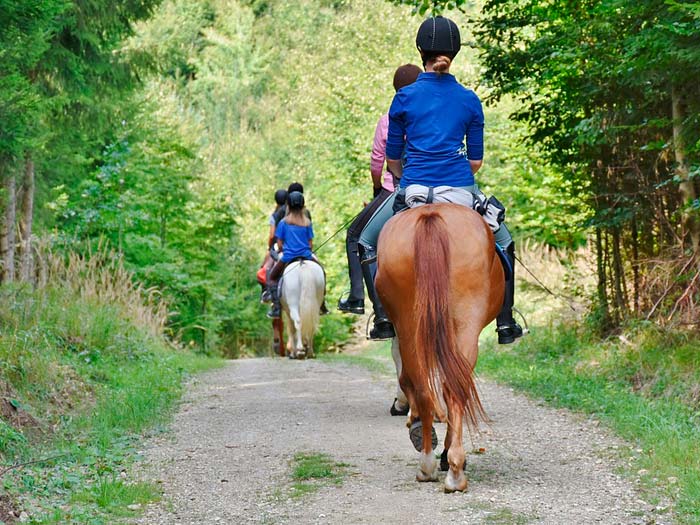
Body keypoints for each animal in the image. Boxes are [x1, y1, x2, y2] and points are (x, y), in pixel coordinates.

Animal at [374, 202, 506, 492]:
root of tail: (430, 215)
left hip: (414, 324)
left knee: (429, 386)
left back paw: (434, 463)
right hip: (460, 325)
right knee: (448, 388)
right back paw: (447, 465)